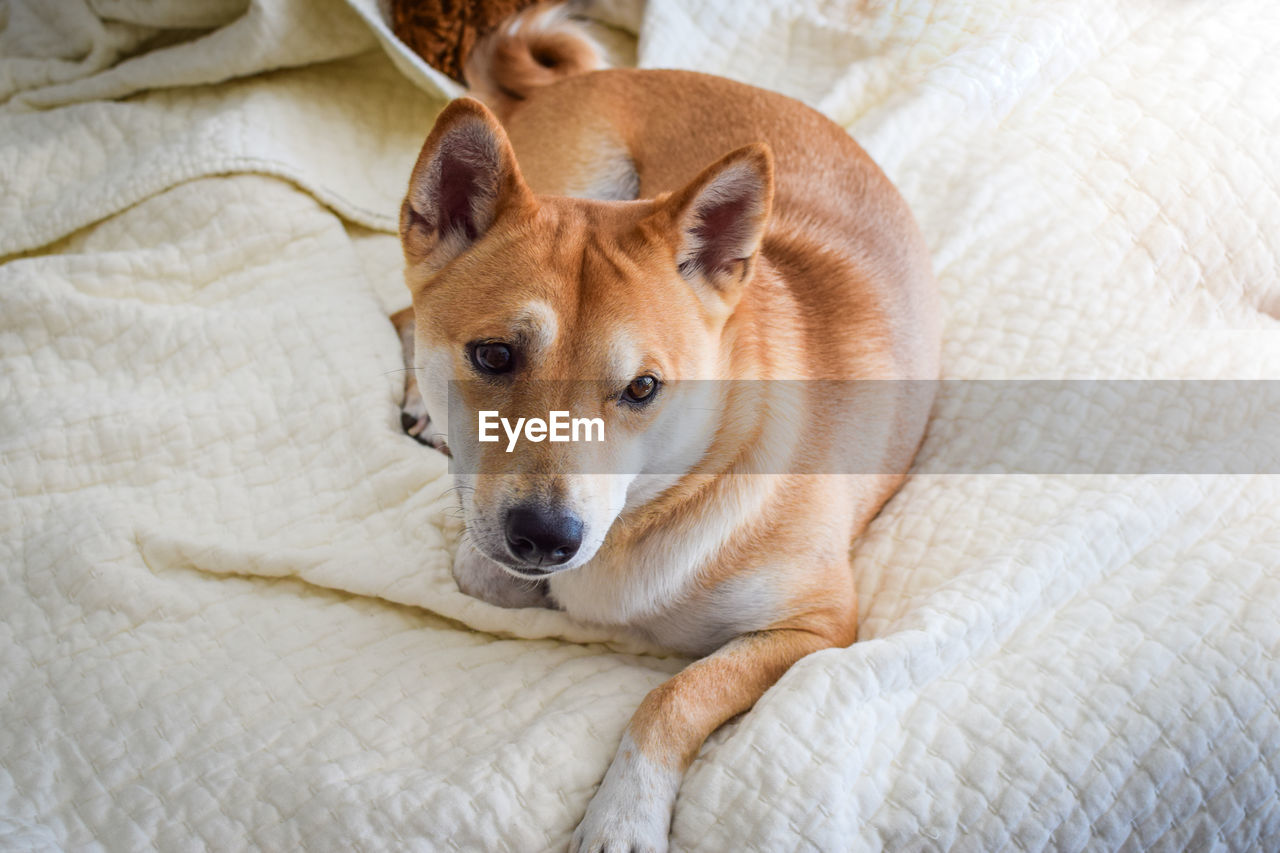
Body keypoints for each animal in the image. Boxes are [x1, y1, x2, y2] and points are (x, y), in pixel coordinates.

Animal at [389, 3, 942, 845]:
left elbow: (674, 694)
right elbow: (482, 568)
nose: (546, 537)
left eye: (644, 388)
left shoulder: (817, 628)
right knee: (401, 314)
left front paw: (625, 812)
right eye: (493, 354)